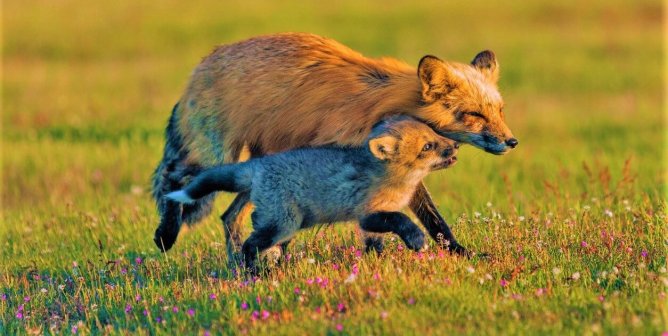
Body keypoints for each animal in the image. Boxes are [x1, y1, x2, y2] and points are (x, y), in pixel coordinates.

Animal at [166, 117, 460, 272]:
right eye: (428, 146)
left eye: (434, 133)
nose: (455, 145)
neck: (397, 183)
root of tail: (259, 164)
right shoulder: (369, 213)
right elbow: (401, 220)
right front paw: (416, 239)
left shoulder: (370, 224)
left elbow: (374, 247)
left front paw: (373, 267)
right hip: (284, 224)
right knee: (250, 244)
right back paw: (254, 274)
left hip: (280, 222)